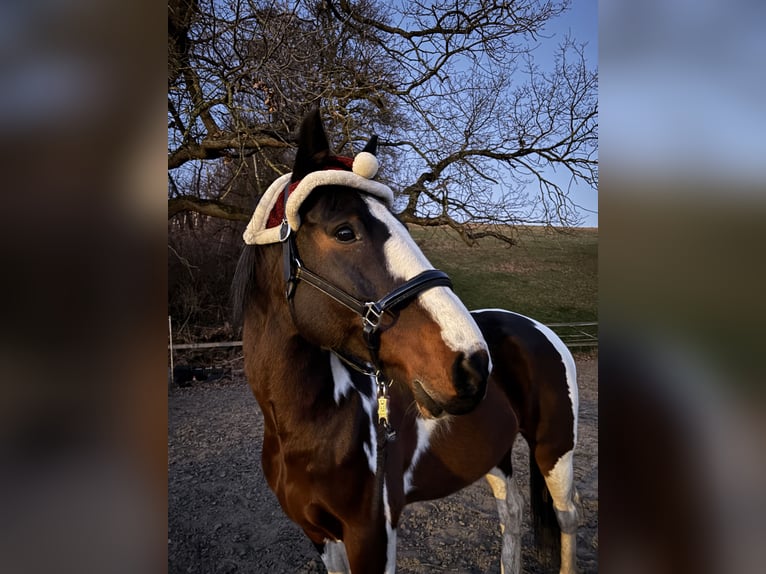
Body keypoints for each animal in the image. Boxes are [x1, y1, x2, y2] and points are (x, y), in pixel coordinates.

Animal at [232, 108, 580, 574]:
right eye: (345, 232)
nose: (473, 363)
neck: (306, 428)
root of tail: (536, 328)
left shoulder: (372, 535)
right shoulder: (319, 535)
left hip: (555, 451)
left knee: (566, 519)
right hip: (496, 453)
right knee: (512, 511)